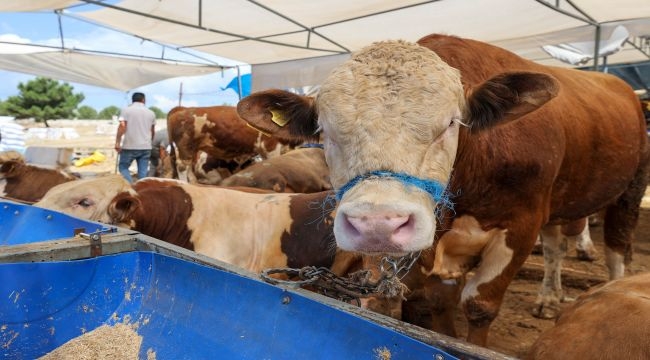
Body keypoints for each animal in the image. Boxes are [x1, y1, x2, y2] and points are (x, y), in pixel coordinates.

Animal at [237, 34, 648, 346]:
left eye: (452, 123)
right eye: (324, 130)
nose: (378, 224)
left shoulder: (521, 225)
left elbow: (480, 306)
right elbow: (430, 303)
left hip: (630, 189)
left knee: (616, 248)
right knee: (554, 247)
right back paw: (549, 297)